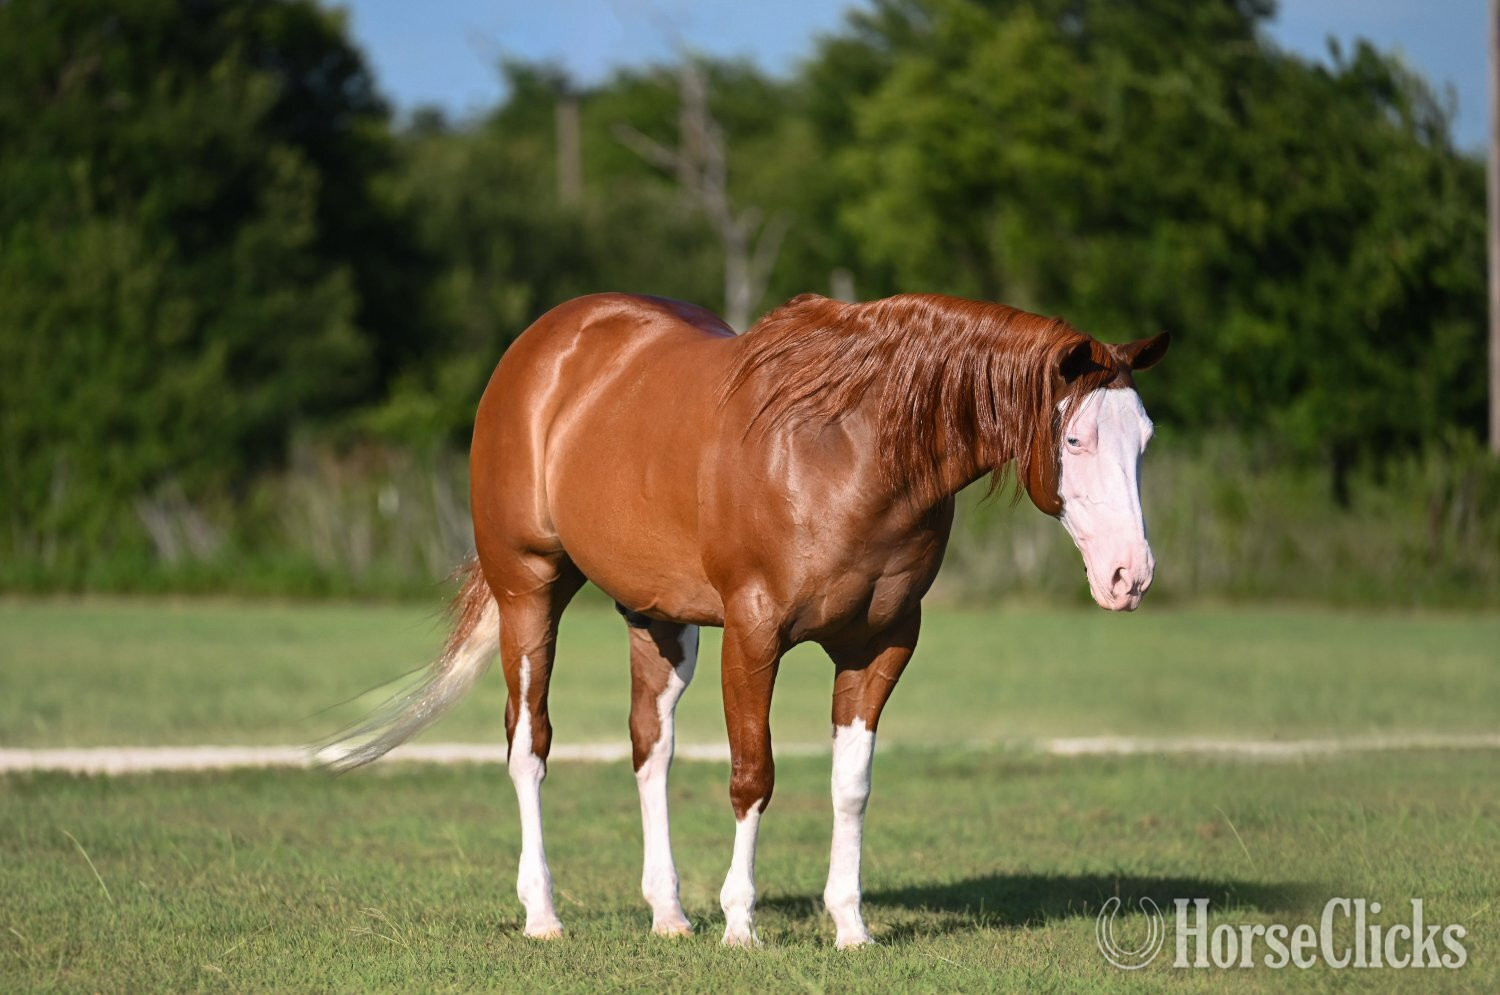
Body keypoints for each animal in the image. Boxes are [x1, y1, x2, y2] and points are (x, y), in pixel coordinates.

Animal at [322, 291, 1169, 948]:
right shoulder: (756, 636)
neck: (847, 449)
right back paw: (543, 914)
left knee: (650, 746)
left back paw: (668, 913)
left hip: (658, 618)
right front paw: (740, 923)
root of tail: (540, 348)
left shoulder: (882, 642)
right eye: (1074, 436)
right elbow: (752, 775)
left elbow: (850, 784)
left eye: (1144, 440)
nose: (1129, 576)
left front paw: (850, 925)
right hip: (529, 587)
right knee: (529, 741)